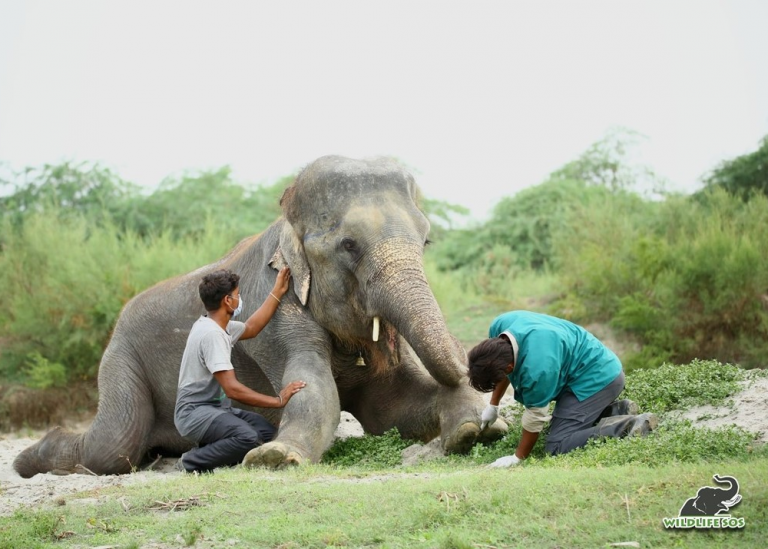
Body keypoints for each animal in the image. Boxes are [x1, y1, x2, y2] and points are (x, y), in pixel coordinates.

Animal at [15, 153, 508, 476]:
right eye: (349, 245)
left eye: (426, 241)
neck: (287, 222)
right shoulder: (274, 319)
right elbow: (316, 391)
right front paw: (275, 459)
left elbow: (393, 409)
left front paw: (474, 431)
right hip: (119, 358)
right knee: (113, 446)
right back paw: (29, 460)